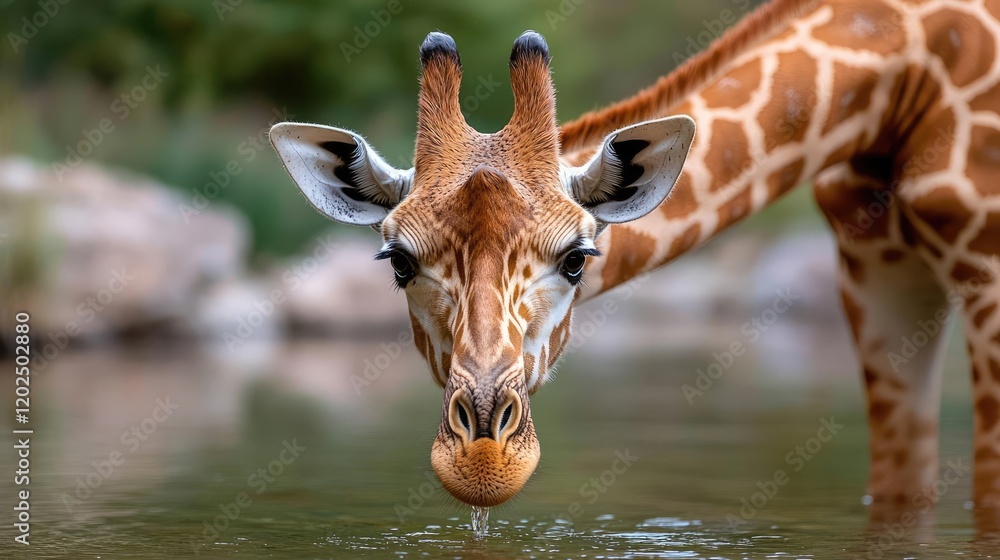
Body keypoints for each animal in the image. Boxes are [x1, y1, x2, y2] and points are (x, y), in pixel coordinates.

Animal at [269, 0, 1000, 517]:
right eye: (397, 262)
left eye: (577, 258)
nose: (483, 463)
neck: (897, 79)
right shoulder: (875, 269)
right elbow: (901, 489)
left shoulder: (985, 266)